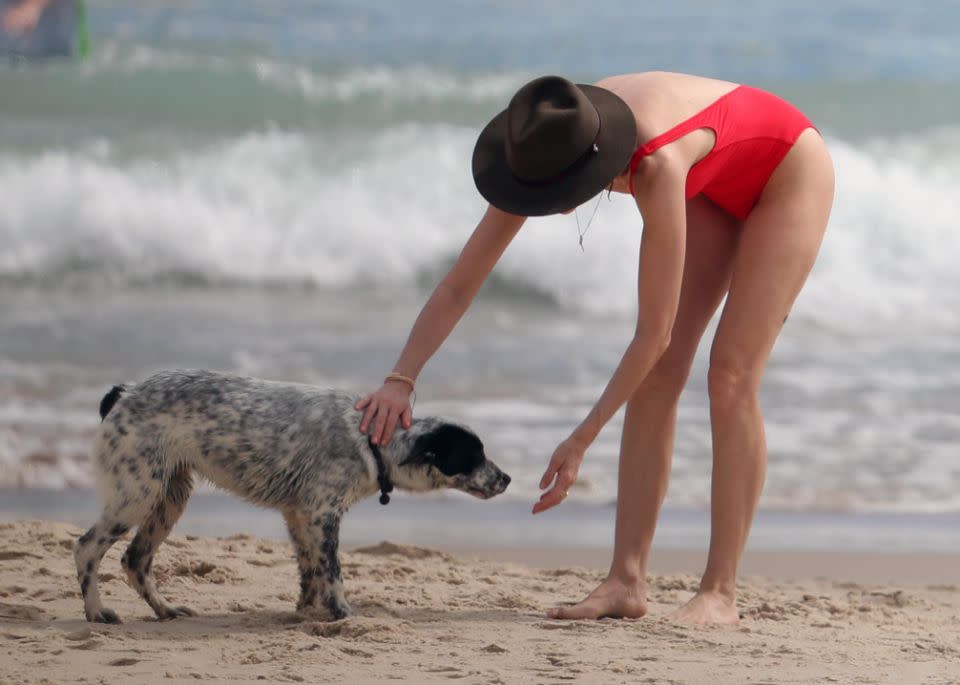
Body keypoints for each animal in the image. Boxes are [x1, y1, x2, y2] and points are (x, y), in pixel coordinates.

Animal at [74, 372, 510, 624]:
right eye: (474, 456)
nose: (506, 479)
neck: (371, 440)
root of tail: (124, 393)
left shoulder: (299, 515)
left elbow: (310, 572)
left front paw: (307, 613)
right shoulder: (322, 514)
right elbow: (332, 572)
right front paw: (342, 614)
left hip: (169, 498)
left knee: (135, 560)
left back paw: (165, 609)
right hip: (137, 494)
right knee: (86, 548)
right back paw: (96, 612)